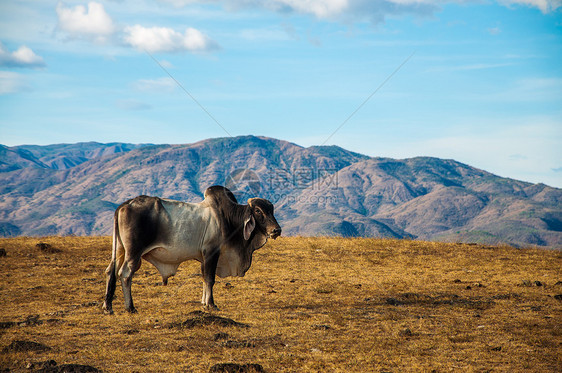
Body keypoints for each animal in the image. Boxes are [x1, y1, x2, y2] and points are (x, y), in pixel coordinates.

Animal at [101, 185, 280, 312]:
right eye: (258, 211)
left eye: (271, 211)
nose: (276, 230)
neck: (228, 218)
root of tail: (124, 205)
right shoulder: (212, 253)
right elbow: (210, 279)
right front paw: (211, 305)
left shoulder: (204, 257)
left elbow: (204, 278)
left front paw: (204, 303)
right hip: (134, 252)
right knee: (125, 273)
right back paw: (130, 307)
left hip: (120, 250)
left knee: (111, 271)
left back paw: (108, 307)